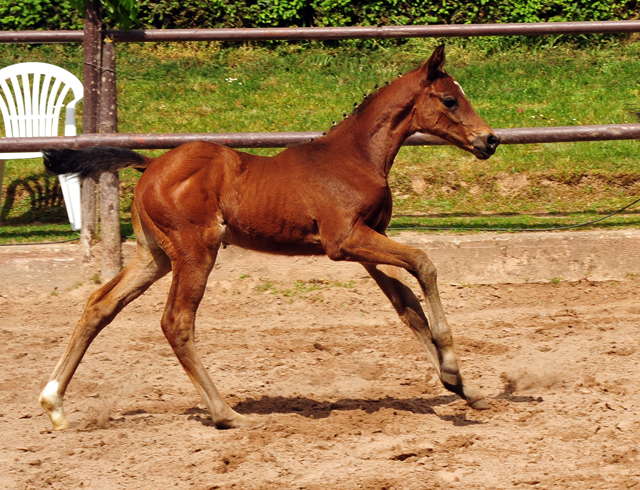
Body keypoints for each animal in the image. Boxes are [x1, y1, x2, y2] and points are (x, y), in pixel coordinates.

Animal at [40, 46, 500, 428]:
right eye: (450, 99)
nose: (490, 140)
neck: (356, 157)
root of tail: (150, 165)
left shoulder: (367, 242)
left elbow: (407, 307)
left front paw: (465, 388)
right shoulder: (345, 241)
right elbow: (424, 263)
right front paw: (453, 368)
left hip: (155, 256)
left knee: (101, 304)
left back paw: (54, 405)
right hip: (196, 251)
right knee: (176, 322)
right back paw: (226, 413)